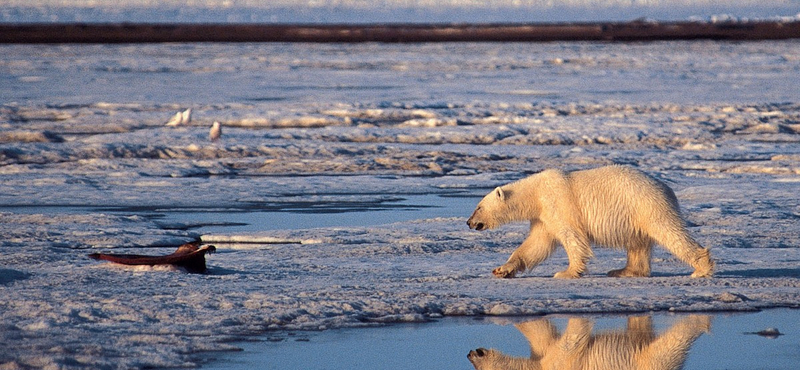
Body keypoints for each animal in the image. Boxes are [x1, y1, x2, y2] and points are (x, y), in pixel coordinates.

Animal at [466, 165, 716, 278]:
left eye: (478, 207)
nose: (469, 222)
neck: (535, 193)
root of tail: (667, 188)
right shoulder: (543, 217)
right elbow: (536, 244)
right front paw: (502, 269)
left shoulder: (559, 204)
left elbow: (572, 237)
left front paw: (566, 273)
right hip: (636, 214)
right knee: (638, 243)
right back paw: (623, 271)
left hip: (646, 205)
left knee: (669, 232)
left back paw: (701, 268)